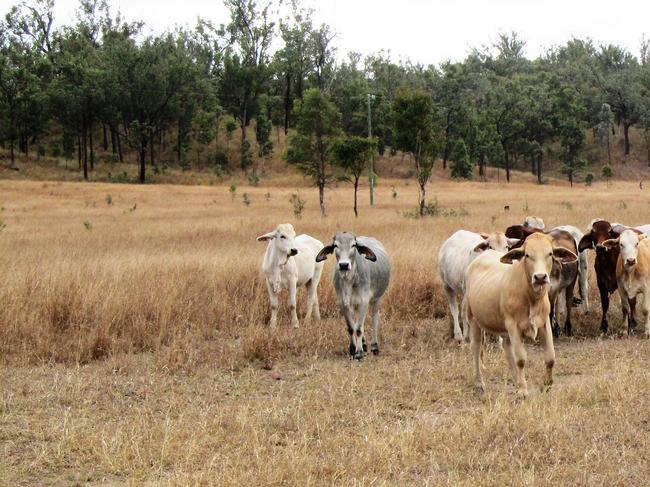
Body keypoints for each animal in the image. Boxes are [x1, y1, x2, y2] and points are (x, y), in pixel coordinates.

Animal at [316, 233, 390, 362]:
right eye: (335, 245)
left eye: (353, 245)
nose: (344, 265)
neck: (349, 280)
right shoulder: (343, 303)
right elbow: (351, 327)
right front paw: (352, 349)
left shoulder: (364, 302)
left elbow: (359, 329)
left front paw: (359, 353)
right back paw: (364, 345)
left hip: (377, 299)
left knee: (374, 321)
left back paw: (374, 347)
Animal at [464, 233, 576, 396]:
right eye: (527, 255)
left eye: (550, 253)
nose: (540, 277)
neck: (531, 298)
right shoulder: (513, 326)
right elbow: (521, 359)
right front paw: (523, 390)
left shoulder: (544, 324)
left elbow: (550, 357)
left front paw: (546, 384)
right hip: (473, 318)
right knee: (476, 348)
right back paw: (479, 383)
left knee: (507, 350)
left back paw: (515, 380)